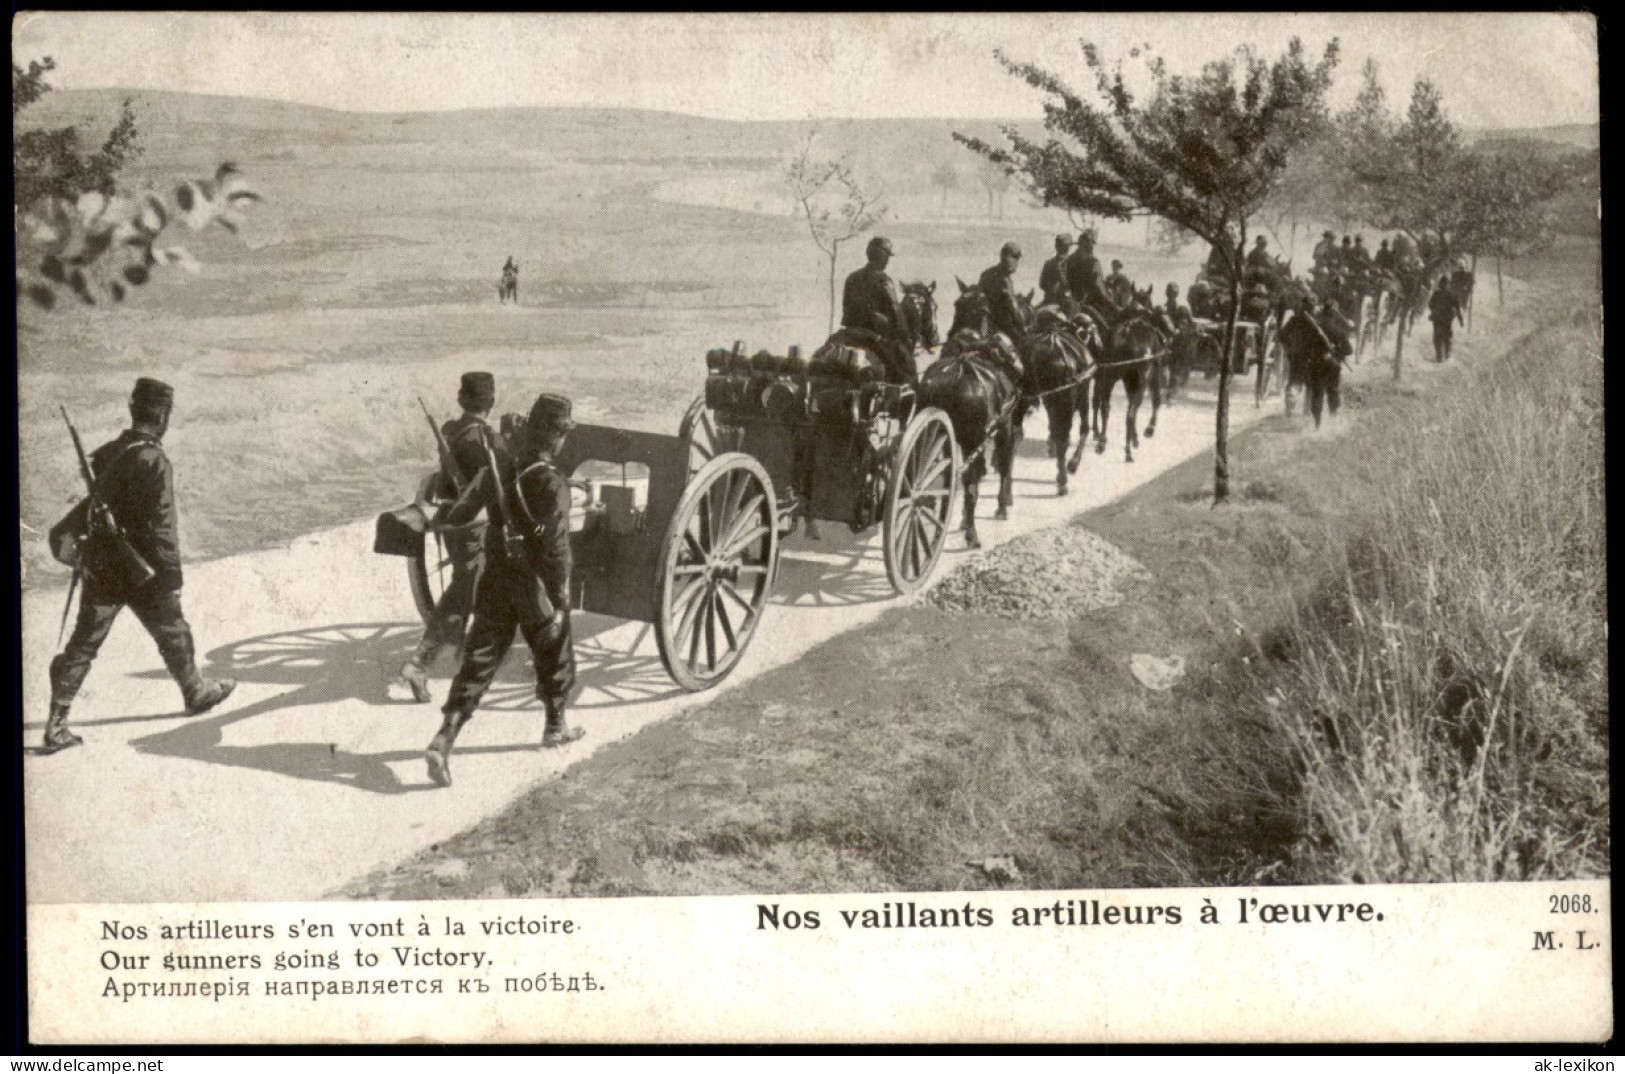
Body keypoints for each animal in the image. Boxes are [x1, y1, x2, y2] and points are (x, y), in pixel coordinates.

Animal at [923, 281, 1020, 549]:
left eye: (957, 304)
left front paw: (964, 518)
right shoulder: (1003, 425)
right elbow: (1003, 465)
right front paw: (1001, 506)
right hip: (974, 438)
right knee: (970, 483)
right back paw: (972, 533)